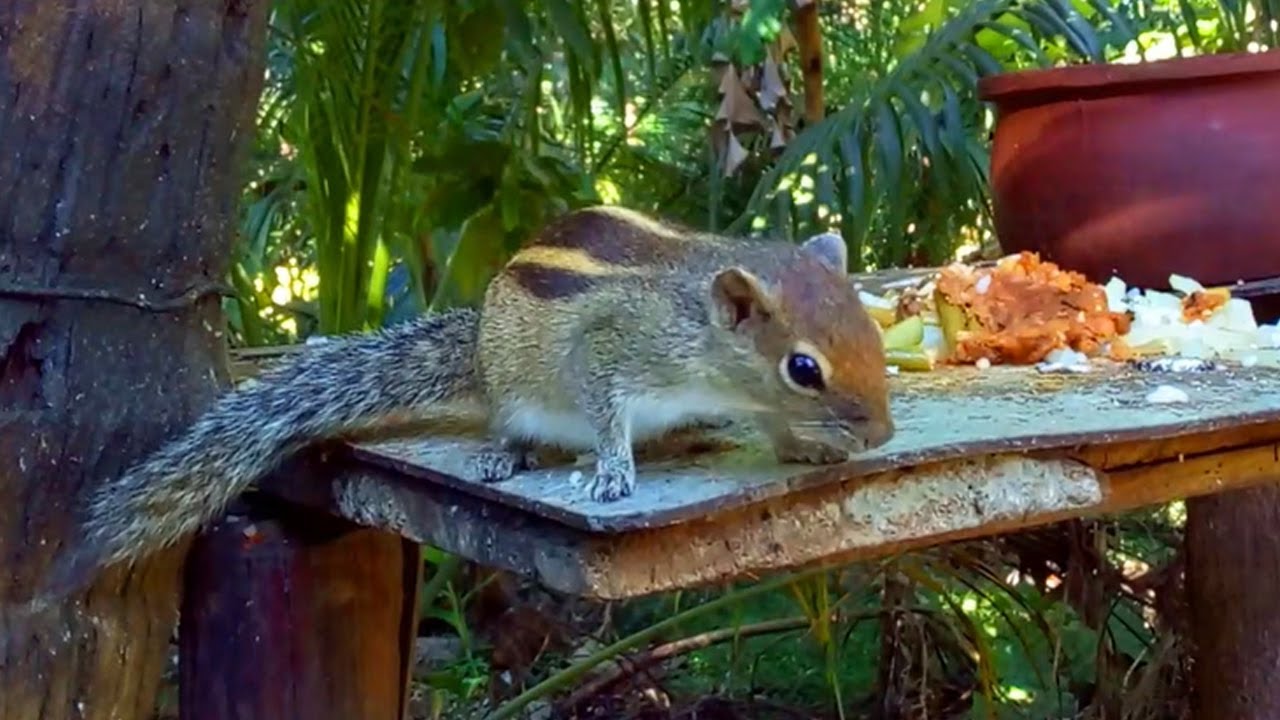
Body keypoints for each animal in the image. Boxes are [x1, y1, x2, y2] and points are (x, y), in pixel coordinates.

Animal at [45, 205, 894, 596]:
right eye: (804, 368)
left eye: (869, 326)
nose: (884, 433)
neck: (698, 332)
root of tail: (478, 353)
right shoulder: (610, 354)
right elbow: (605, 412)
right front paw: (612, 470)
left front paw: (804, 446)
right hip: (513, 391)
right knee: (511, 424)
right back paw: (505, 454)